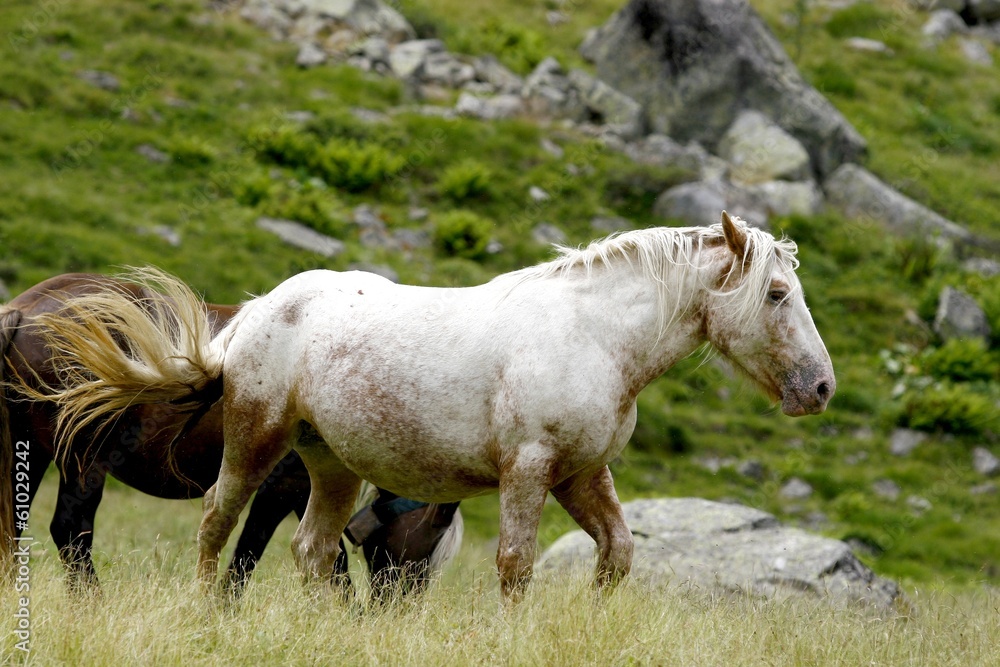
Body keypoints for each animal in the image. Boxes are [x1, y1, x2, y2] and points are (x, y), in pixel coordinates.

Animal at [1, 273, 462, 597]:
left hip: (31, 454)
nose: (397, 609)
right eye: (424, 550)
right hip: (84, 459)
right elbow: (257, 555)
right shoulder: (285, 487)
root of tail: (26, 307)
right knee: (70, 530)